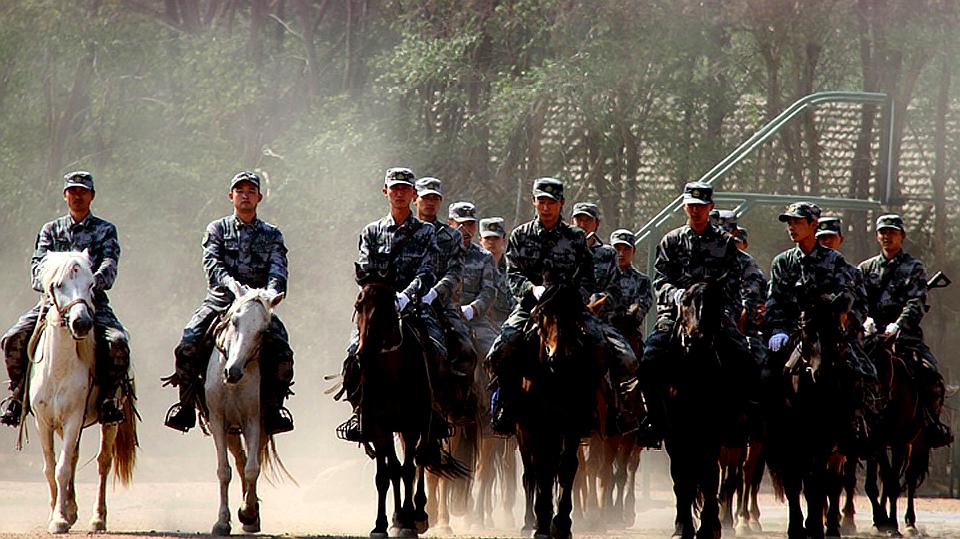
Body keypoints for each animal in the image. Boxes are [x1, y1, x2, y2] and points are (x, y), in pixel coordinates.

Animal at [28, 250, 137, 536]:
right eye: (58, 285)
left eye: (91, 285)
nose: (82, 323)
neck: (58, 368)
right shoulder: (43, 421)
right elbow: (50, 468)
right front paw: (59, 513)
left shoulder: (73, 419)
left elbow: (62, 469)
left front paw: (59, 519)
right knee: (75, 458)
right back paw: (72, 508)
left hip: (109, 423)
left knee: (103, 463)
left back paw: (98, 519)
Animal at [204, 282, 286, 536]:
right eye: (234, 321)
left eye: (263, 331)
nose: (233, 371)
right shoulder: (218, 421)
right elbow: (224, 471)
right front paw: (222, 522)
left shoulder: (254, 420)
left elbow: (253, 468)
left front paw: (248, 513)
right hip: (231, 429)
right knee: (239, 461)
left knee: (251, 459)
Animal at [512, 282, 604, 539]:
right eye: (543, 314)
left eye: (575, 316)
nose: (559, 358)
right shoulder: (537, 426)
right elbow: (542, 469)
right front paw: (542, 523)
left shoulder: (571, 425)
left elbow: (567, 467)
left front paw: (562, 523)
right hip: (524, 433)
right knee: (530, 474)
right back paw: (529, 521)